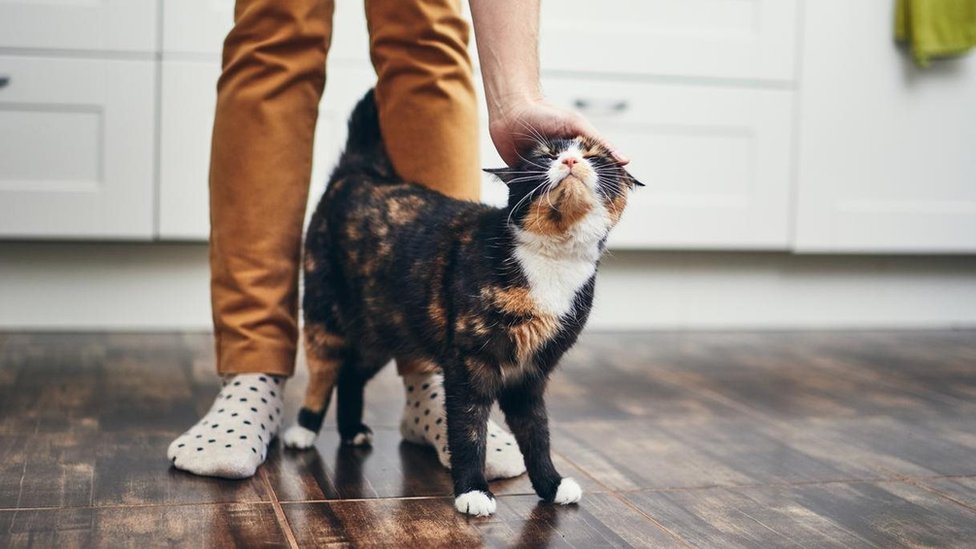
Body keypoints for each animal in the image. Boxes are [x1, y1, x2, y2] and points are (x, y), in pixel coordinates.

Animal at [282, 89, 640, 512]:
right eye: (545, 155)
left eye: (594, 156)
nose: (569, 160)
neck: (552, 259)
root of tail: (359, 172)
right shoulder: (469, 363)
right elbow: (468, 431)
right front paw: (472, 490)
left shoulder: (531, 373)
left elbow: (537, 433)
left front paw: (551, 484)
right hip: (325, 315)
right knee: (324, 372)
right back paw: (303, 429)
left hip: (382, 329)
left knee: (352, 373)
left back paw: (352, 429)